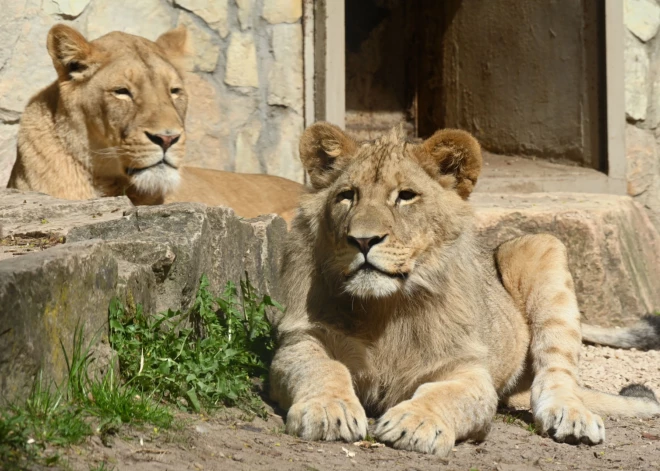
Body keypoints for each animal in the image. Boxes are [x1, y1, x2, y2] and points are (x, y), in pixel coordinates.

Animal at [270, 123, 660, 456]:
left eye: (406, 196)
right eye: (347, 196)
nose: (363, 240)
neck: (384, 308)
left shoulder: (468, 368)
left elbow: (443, 394)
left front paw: (416, 423)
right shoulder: (302, 338)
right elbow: (322, 369)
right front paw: (327, 410)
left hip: (538, 246)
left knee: (557, 373)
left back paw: (572, 418)